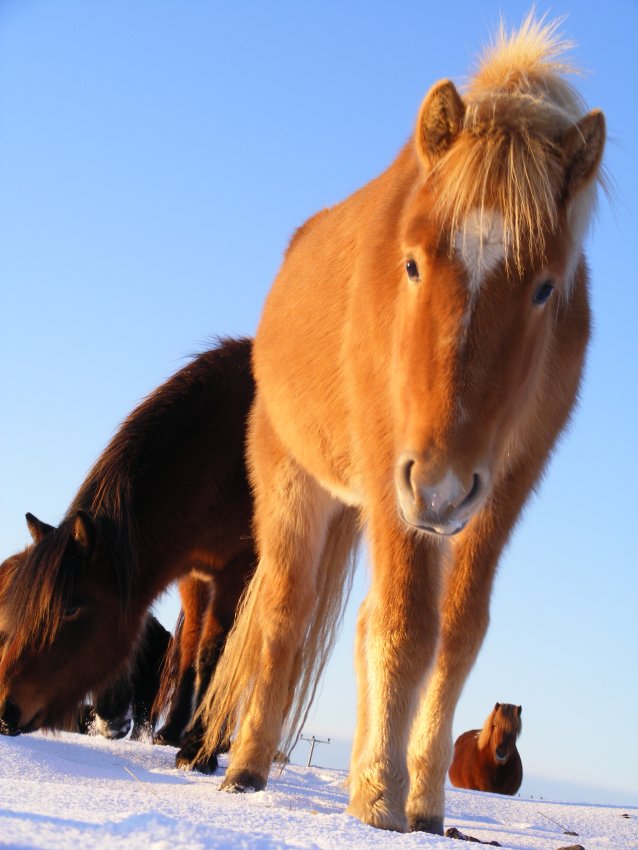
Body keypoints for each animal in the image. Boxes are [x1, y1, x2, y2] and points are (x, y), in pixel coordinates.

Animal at [1, 336, 258, 768]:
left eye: (71, 606)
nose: (5, 709)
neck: (227, 452)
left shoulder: (235, 570)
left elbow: (215, 653)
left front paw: (198, 751)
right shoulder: (195, 573)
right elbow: (190, 650)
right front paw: (176, 735)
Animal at [201, 14, 608, 836]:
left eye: (546, 287)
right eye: (413, 263)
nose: (444, 488)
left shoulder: (503, 484)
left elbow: (457, 631)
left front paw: (420, 801)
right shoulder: (401, 470)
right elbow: (404, 626)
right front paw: (381, 800)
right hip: (303, 487)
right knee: (284, 622)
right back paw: (247, 770)